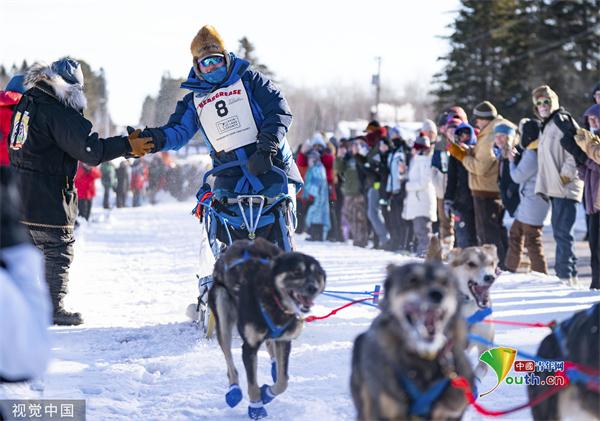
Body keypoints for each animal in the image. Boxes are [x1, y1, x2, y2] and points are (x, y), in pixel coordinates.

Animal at [209, 238, 326, 418]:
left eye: (317, 274)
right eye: (296, 272)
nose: (312, 287)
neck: (274, 300)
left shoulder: (284, 340)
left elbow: (283, 381)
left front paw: (266, 393)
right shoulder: (249, 347)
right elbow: (252, 385)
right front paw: (256, 407)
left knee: (271, 349)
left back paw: (273, 368)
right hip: (222, 314)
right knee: (229, 361)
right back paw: (234, 390)